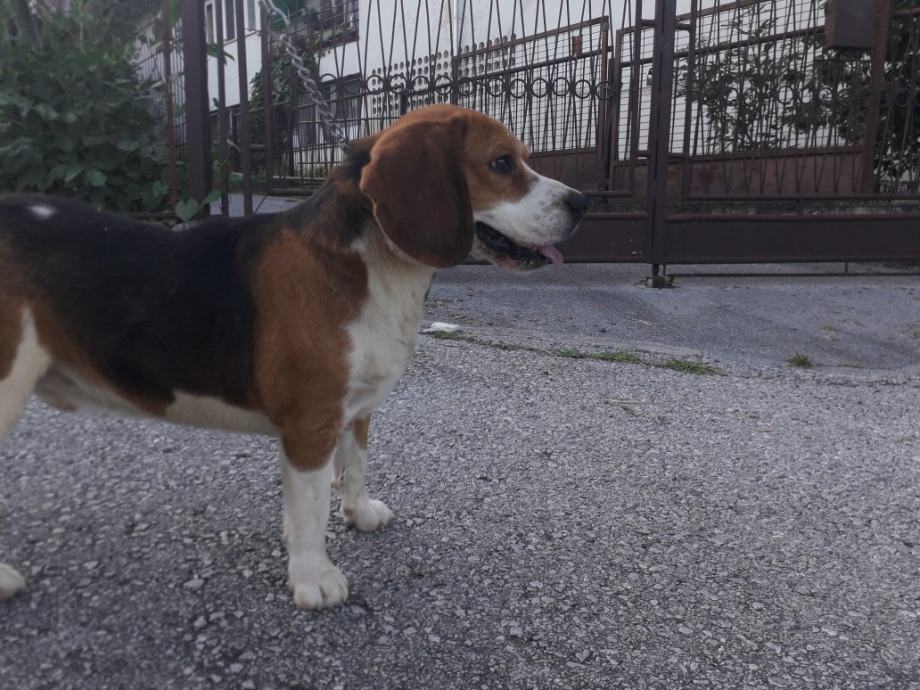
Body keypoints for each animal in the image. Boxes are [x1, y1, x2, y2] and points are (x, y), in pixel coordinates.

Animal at [0, 104, 586, 609]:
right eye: (502, 163)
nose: (582, 203)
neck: (370, 259)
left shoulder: (353, 410)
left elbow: (353, 468)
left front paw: (358, 514)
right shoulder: (311, 422)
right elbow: (311, 508)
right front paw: (313, 577)